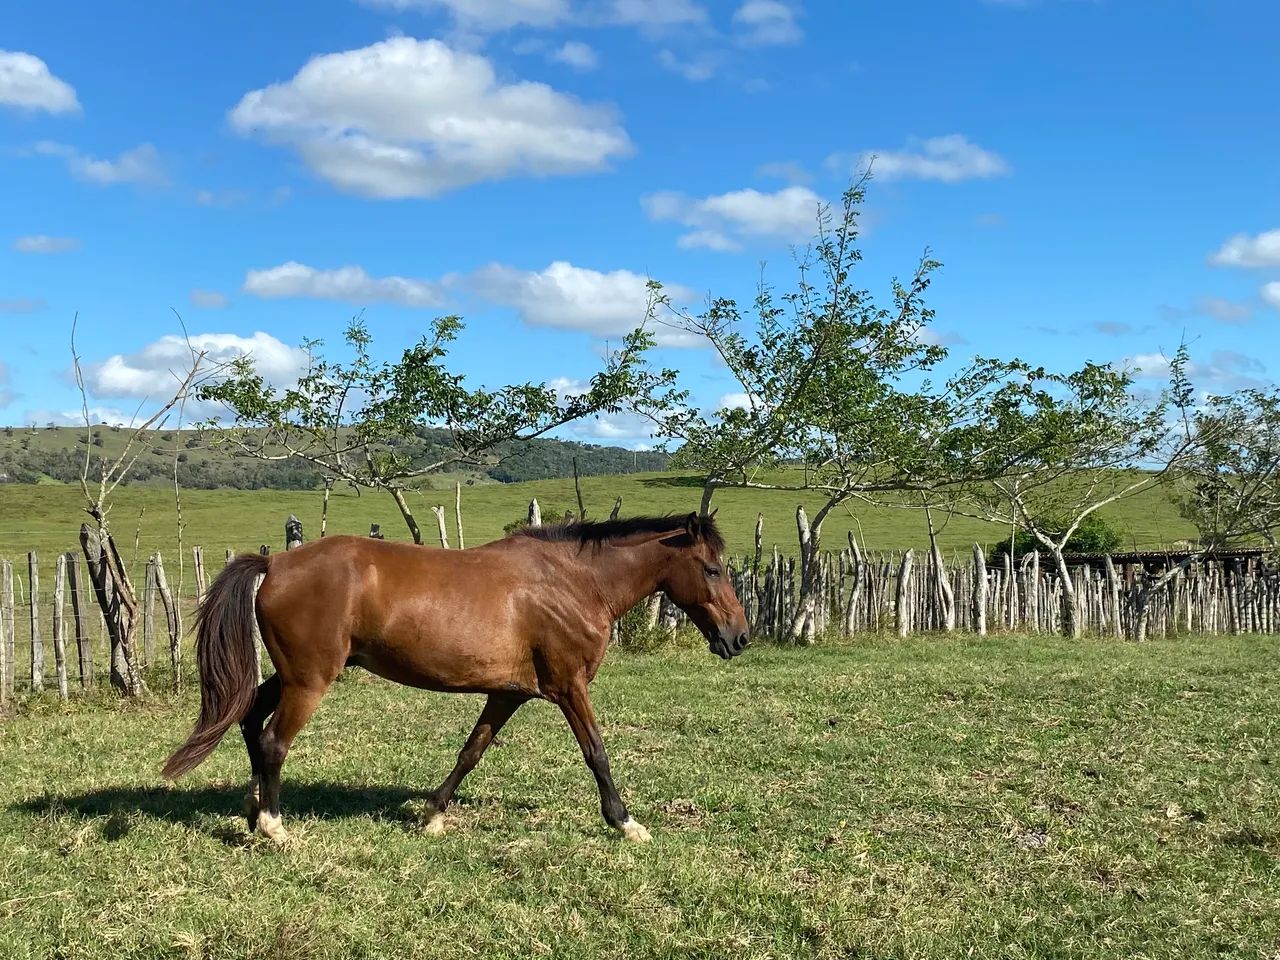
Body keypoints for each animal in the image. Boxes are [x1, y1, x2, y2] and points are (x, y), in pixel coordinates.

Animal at [161, 512, 750, 843]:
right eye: (713, 568)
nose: (739, 638)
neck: (573, 582)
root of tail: (276, 564)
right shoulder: (568, 687)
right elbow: (597, 753)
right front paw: (626, 823)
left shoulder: (507, 694)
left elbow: (471, 751)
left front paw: (432, 817)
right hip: (309, 681)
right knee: (273, 741)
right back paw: (275, 828)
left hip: (290, 677)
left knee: (250, 720)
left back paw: (251, 809)